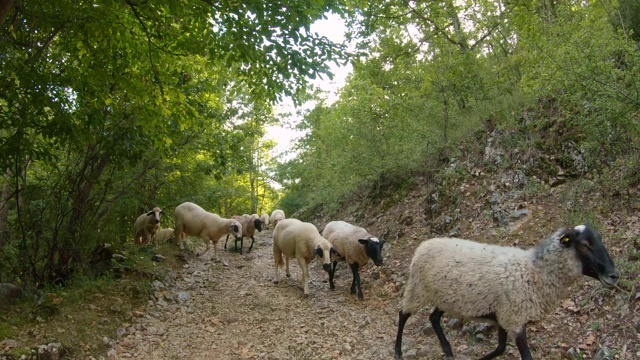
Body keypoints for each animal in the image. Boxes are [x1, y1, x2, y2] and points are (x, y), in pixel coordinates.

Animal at [396, 225, 620, 360]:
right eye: (584, 245)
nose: (614, 275)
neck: (535, 272)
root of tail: (424, 244)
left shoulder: (505, 317)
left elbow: (500, 348)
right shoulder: (514, 319)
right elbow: (522, 355)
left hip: (446, 297)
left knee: (433, 318)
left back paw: (448, 350)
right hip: (417, 288)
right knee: (403, 314)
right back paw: (398, 351)